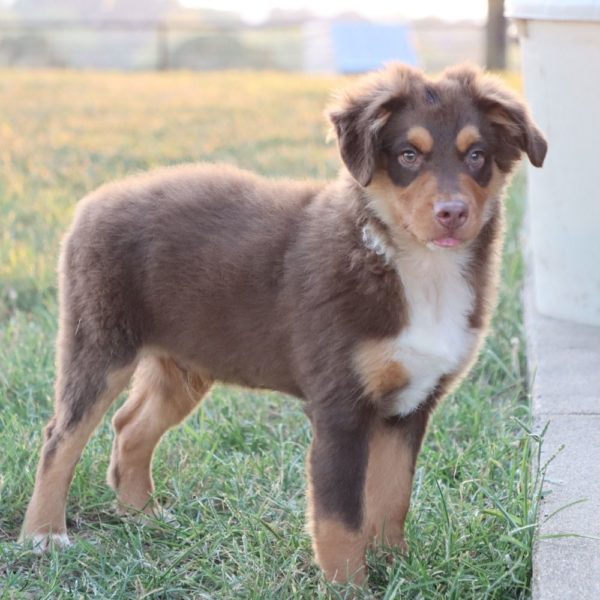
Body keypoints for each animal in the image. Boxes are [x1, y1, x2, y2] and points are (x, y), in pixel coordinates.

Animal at [18, 63, 548, 584]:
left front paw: (396, 566)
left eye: (476, 155)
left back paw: (142, 516)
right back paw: (44, 534)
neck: (410, 265)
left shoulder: (410, 404)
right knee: (60, 437)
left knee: (130, 427)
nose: (452, 213)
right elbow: (340, 517)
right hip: (100, 342)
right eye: (408, 155)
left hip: (185, 366)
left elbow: (392, 497)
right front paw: (349, 586)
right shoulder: (339, 406)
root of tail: (94, 200)